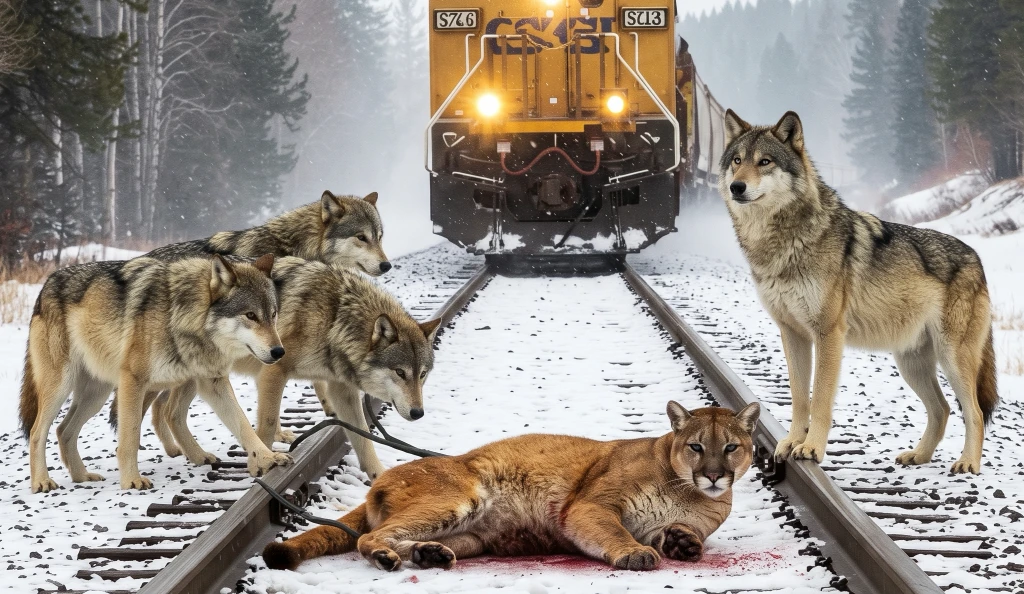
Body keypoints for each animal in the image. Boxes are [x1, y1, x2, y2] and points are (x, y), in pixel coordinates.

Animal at [20, 254, 292, 493]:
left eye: (273, 314)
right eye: (251, 315)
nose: (279, 351)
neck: (181, 315)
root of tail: (45, 286)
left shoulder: (213, 382)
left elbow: (244, 425)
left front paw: (269, 458)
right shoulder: (133, 381)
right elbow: (130, 436)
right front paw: (131, 480)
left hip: (96, 395)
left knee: (63, 431)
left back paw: (82, 476)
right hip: (61, 387)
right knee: (37, 432)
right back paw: (42, 482)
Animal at [149, 257, 440, 481]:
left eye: (422, 375)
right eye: (400, 373)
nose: (418, 413)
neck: (335, 316)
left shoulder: (341, 390)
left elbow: (363, 437)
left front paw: (380, 477)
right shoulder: (273, 372)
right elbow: (266, 425)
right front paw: (262, 466)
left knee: (168, 411)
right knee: (166, 410)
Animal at [261, 401, 760, 572]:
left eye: (731, 447)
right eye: (696, 446)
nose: (714, 475)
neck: (685, 490)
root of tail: (381, 478)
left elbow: (675, 532)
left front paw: (683, 542)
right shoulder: (592, 506)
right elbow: (616, 532)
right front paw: (635, 553)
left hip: (472, 535)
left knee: (406, 536)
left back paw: (429, 554)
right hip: (458, 496)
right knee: (371, 535)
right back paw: (387, 557)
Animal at [718, 109, 998, 474]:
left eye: (764, 161)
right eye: (737, 161)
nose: (737, 186)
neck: (782, 242)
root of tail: (977, 258)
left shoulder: (828, 334)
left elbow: (820, 398)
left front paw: (811, 449)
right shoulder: (792, 333)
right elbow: (799, 397)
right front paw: (791, 442)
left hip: (952, 359)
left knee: (974, 412)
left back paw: (967, 463)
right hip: (911, 363)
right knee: (943, 409)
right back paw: (918, 456)